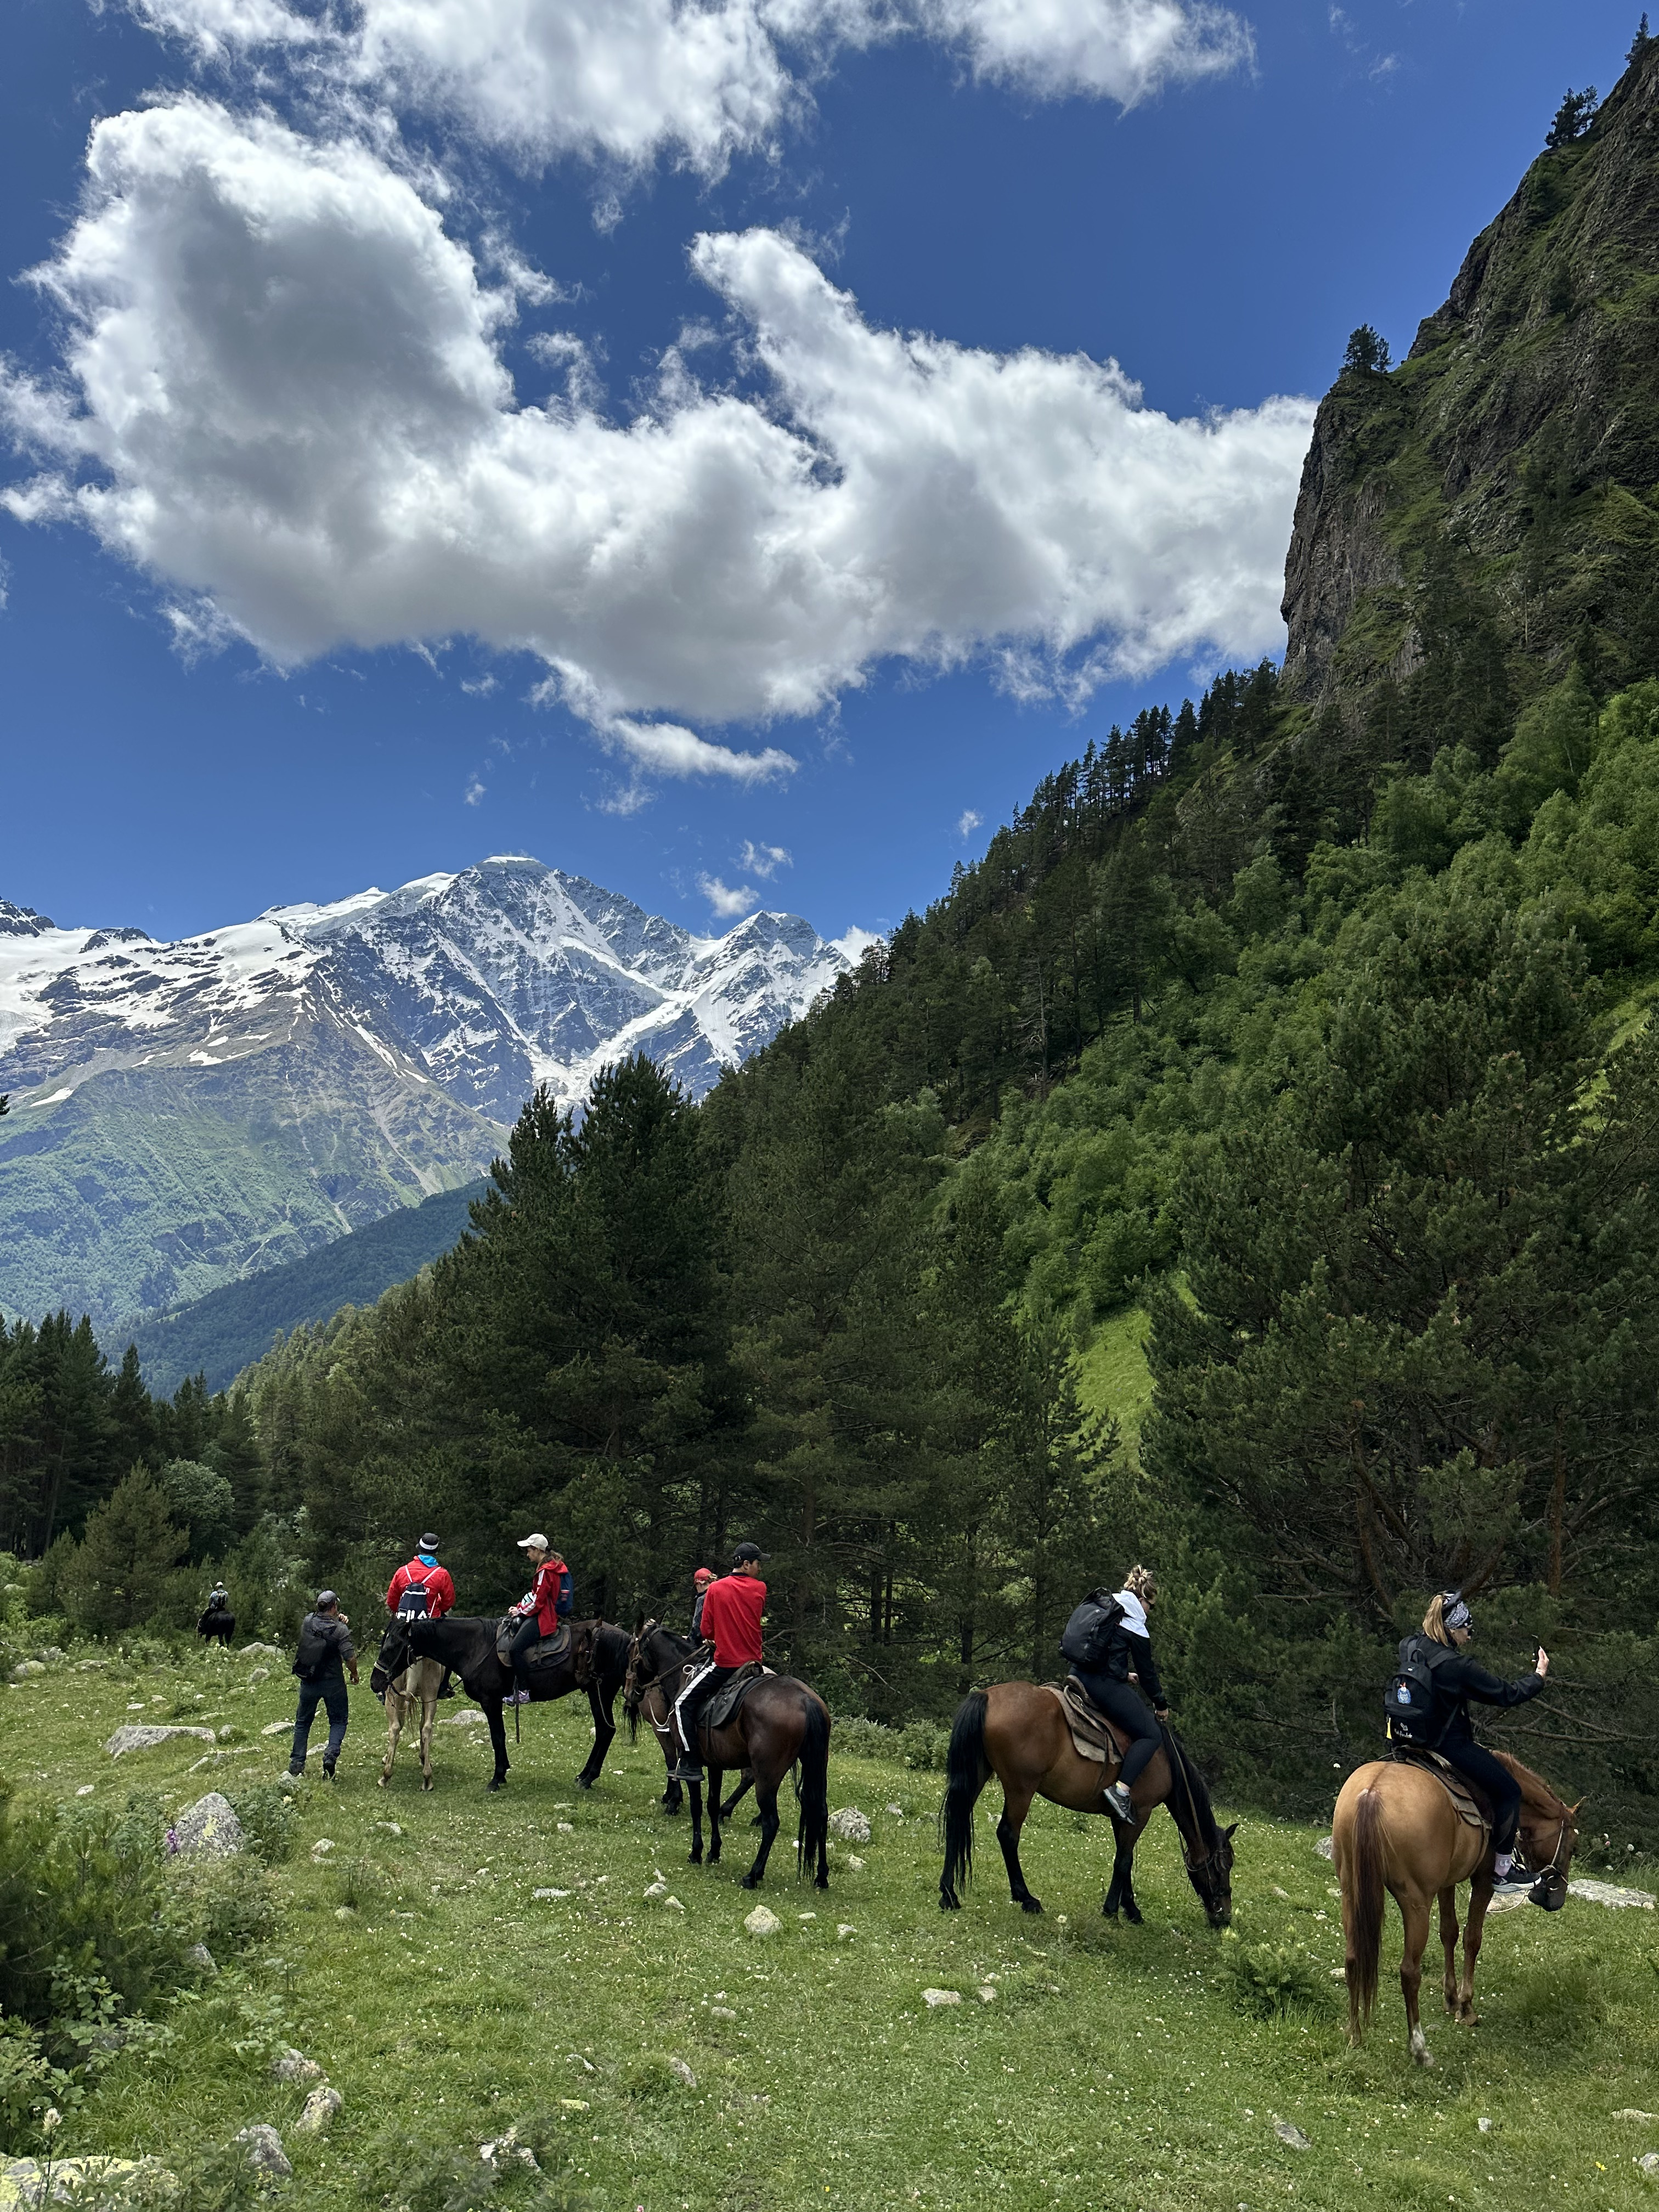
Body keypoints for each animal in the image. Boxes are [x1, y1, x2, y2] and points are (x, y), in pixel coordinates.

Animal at [374, 1619, 633, 1787]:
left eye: (391, 1647)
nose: (375, 1682)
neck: (475, 1646)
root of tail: (626, 1638)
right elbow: (499, 1736)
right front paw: (503, 1771)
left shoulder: (491, 1702)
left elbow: (497, 1736)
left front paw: (497, 1777)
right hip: (596, 1693)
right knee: (604, 1731)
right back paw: (584, 1775)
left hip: (601, 1692)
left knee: (606, 1731)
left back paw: (588, 1778)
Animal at [624, 1619, 832, 1893]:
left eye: (631, 1652)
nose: (630, 1692)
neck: (683, 1676)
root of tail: (806, 1700)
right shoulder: (715, 1765)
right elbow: (712, 1805)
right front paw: (714, 1851)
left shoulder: (690, 1760)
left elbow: (696, 1805)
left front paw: (696, 1851)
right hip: (816, 1768)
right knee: (821, 1813)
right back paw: (822, 1875)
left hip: (767, 1776)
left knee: (771, 1822)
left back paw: (753, 1874)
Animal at [938, 1681, 1238, 1928]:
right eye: (1225, 1866)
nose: (1224, 1916)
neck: (1167, 1760)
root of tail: (986, 1695)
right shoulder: (1141, 1813)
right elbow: (1124, 1861)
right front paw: (1112, 1911)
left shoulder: (1123, 1816)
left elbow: (1125, 1860)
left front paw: (1131, 1909)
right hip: (1021, 1788)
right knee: (1007, 1834)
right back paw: (1027, 1898)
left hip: (978, 1773)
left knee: (956, 1820)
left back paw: (948, 1894)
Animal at [1336, 1752, 1583, 2061]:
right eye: (1572, 1847)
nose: (1555, 1899)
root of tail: (1372, 1794)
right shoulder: (1483, 1881)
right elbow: (1471, 1939)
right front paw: (1466, 2007)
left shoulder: (1446, 1882)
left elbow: (1449, 1932)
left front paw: (1451, 1998)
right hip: (1416, 1903)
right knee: (1409, 1971)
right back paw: (1419, 2048)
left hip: (1352, 1892)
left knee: (1353, 1958)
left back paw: (1355, 2035)